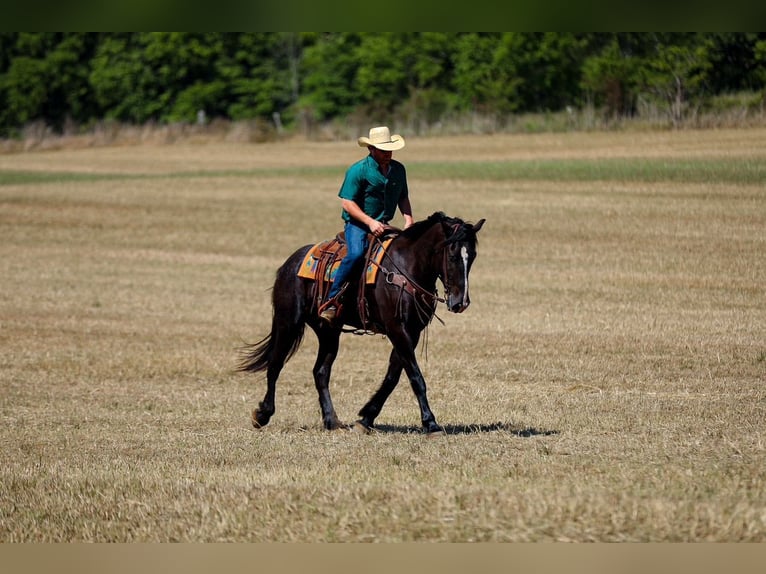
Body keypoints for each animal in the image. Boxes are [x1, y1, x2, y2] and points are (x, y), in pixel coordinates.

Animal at [237, 211, 485, 434]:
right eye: (452, 256)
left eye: (472, 256)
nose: (461, 302)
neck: (406, 267)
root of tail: (290, 263)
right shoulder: (397, 329)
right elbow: (415, 376)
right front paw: (430, 423)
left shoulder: (411, 332)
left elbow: (393, 376)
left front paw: (366, 418)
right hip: (288, 322)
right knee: (275, 364)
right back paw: (262, 414)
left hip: (328, 331)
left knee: (320, 371)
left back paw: (332, 421)